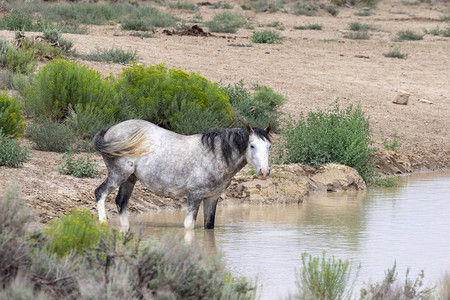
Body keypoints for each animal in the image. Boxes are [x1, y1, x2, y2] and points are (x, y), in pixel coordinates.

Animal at [93, 119, 272, 230]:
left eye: (269, 146)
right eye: (252, 145)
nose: (264, 172)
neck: (215, 156)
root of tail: (110, 130)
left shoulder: (212, 198)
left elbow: (209, 226)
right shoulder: (195, 195)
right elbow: (188, 225)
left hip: (130, 178)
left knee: (121, 202)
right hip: (118, 174)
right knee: (100, 193)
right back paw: (102, 223)